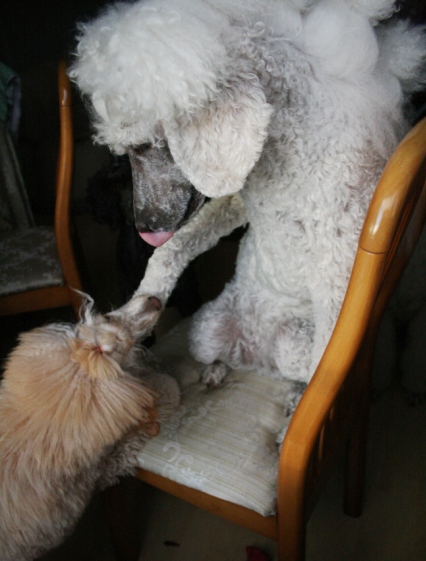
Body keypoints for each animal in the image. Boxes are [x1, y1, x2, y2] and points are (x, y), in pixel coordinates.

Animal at [70, 0, 426, 425]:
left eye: (141, 146)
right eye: (119, 155)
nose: (144, 226)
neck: (288, 149)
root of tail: (259, 356)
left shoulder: (341, 265)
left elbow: (328, 356)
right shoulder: (238, 201)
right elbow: (172, 250)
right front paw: (134, 307)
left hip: (292, 343)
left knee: (301, 369)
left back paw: (295, 397)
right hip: (206, 328)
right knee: (220, 351)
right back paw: (217, 368)